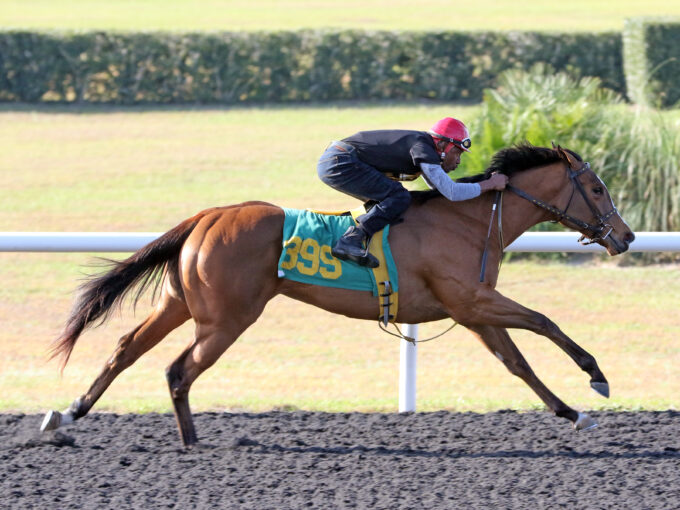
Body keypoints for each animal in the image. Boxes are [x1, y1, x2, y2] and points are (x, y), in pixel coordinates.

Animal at [41, 142, 636, 446]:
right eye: (598, 188)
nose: (626, 237)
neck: (468, 219)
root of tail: (207, 216)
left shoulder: (470, 310)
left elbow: (519, 364)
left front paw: (572, 412)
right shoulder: (471, 302)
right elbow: (543, 321)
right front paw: (597, 377)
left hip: (182, 304)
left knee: (125, 349)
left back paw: (68, 414)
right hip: (226, 319)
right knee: (177, 370)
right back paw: (191, 443)